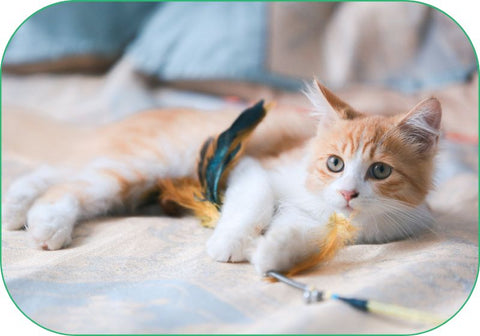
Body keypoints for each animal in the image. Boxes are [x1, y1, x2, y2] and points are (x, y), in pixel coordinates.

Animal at [1, 81, 440, 276]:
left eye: (380, 170)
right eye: (334, 163)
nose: (348, 193)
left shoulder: (335, 224)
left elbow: (303, 235)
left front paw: (272, 255)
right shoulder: (253, 167)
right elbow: (252, 202)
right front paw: (230, 244)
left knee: (61, 170)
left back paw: (16, 208)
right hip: (155, 161)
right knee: (72, 182)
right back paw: (44, 223)